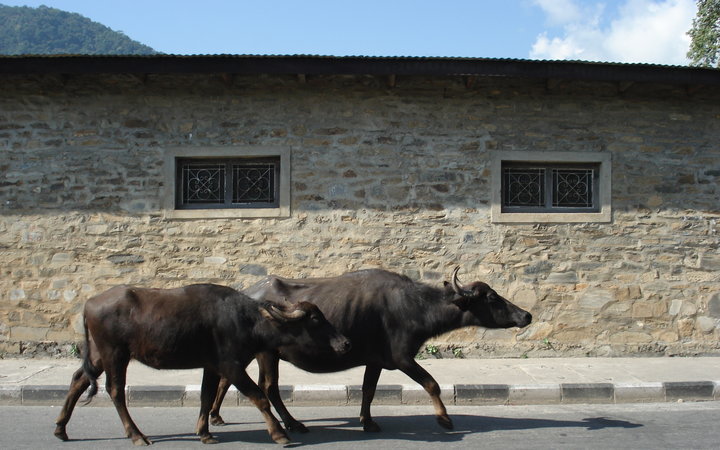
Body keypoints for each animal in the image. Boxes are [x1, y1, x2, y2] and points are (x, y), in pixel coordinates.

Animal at [53, 284, 352, 444]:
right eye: (315, 319)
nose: (344, 342)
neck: (244, 320)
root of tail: (90, 303)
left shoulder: (212, 366)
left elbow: (206, 396)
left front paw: (204, 432)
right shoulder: (232, 366)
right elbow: (258, 396)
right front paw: (279, 434)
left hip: (98, 356)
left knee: (78, 380)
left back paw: (60, 429)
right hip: (115, 354)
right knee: (115, 391)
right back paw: (136, 435)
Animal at [211, 268, 532, 432]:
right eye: (492, 297)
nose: (526, 315)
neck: (413, 305)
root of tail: (246, 294)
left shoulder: (376, 360)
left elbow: (368, 390)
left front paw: (367, 421)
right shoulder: (402, 358)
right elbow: (432, 384)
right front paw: (444, 419)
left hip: (257, 353)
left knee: (228, 378)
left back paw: (216, 416)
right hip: (267, 354)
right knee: (268, 387)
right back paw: (292, 423)